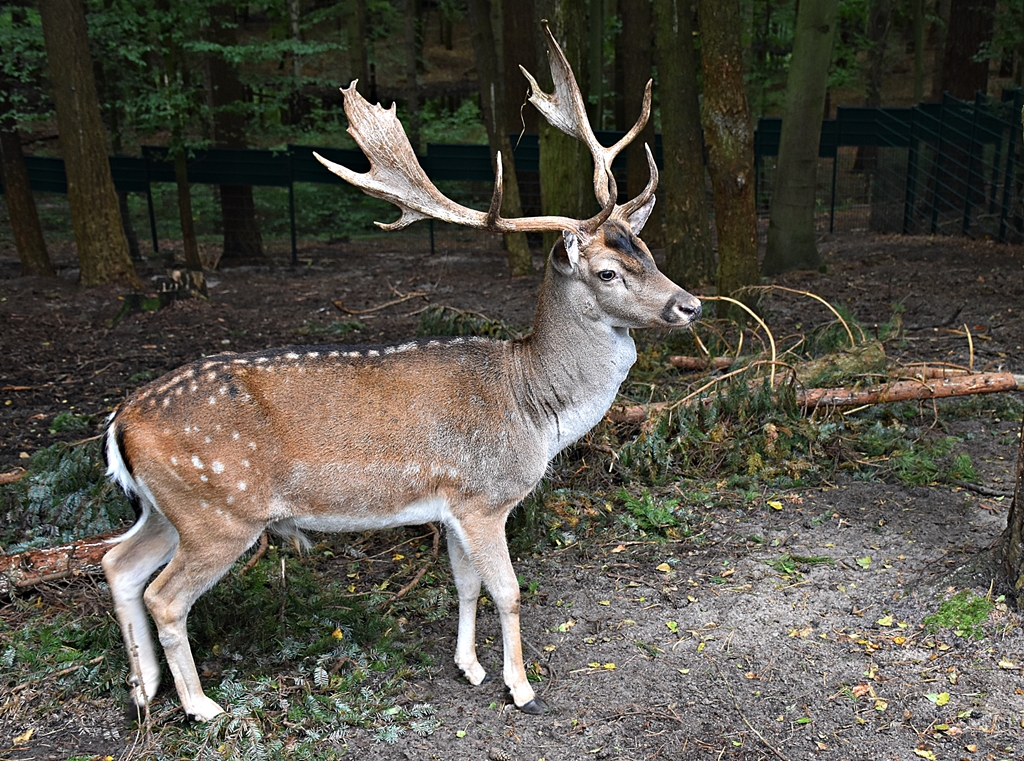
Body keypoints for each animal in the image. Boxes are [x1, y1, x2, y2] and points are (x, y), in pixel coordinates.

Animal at [101, 22, 701, 721]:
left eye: (648, 253)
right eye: (607, 272)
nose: (689, 304)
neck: (533, 405)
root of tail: (119, 422)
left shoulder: (451, 505)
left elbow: (465, 586)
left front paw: (470, 667)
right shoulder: (484, 495)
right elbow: (507, 590)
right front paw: (520, 686)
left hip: (164, 508)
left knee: (117, 563)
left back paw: (144, 689)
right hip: (217, 511)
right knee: (163, 595)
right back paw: (200, 705)